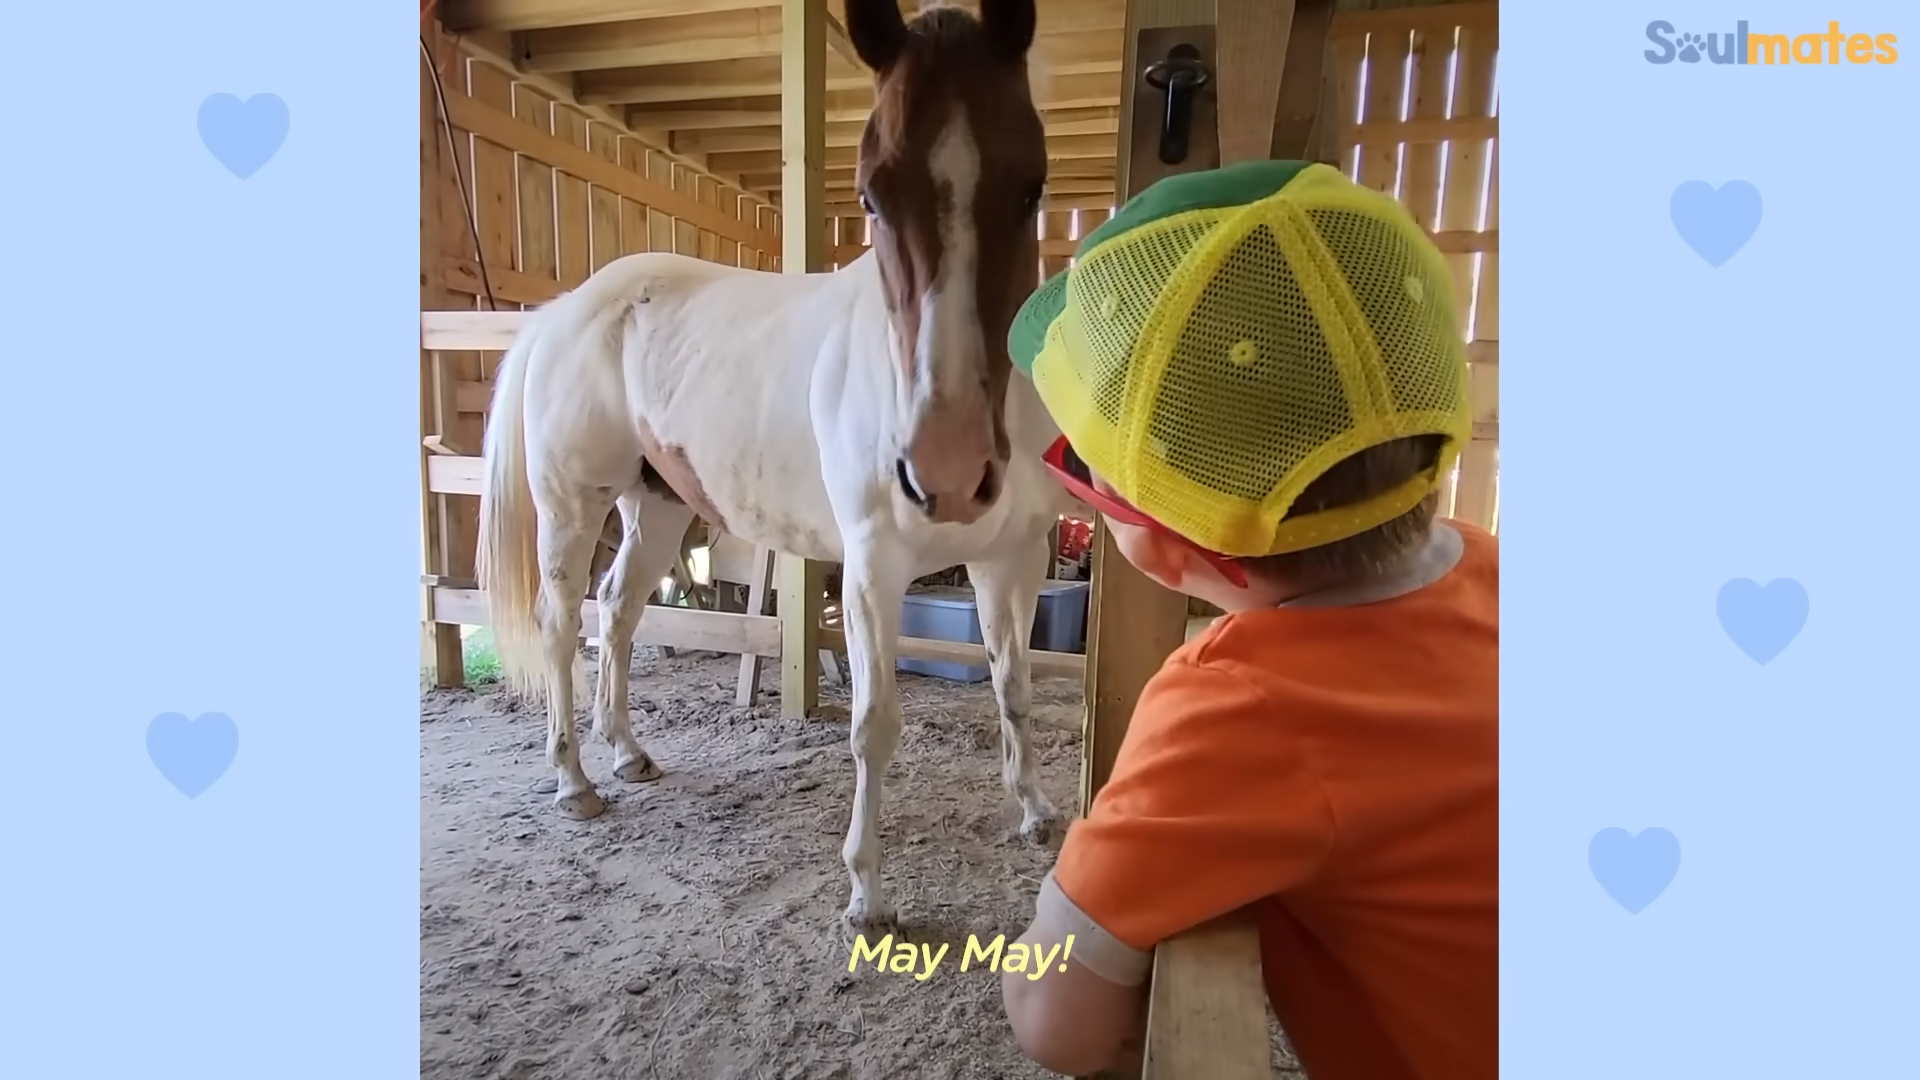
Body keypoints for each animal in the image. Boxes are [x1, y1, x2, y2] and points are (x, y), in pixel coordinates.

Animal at [474, 0, 1075, 933]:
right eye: (870, 194)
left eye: (1031, 185)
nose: (944, 469)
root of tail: (564, 309)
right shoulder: (870, 571)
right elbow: (875, 725)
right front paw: (866, 893)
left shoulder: (1011, 556)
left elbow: (1013, 684)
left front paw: (1036, 811)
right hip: (572, 507)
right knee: (561, 623)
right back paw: (573, 780)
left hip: (657, 510)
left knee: (618, 612)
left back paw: (628, 752)